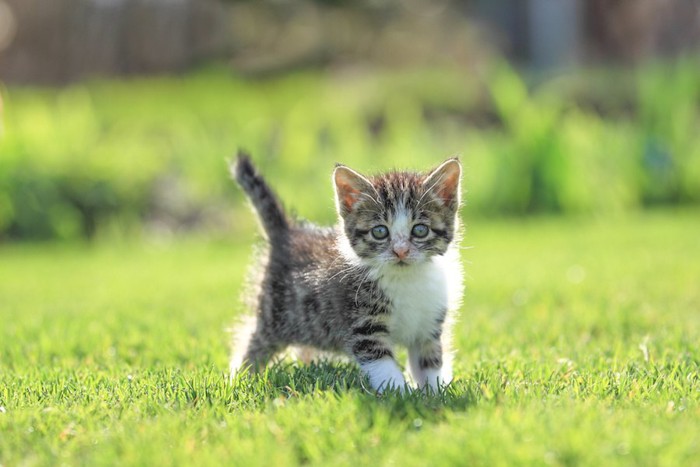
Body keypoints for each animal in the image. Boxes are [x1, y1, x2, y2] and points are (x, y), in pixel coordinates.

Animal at [230, 152, 462, 394]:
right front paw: (399, 393)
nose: (400, 251)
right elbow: (381, 363)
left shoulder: (428, 325)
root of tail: (287, 235)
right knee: (252, 342)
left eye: (420, 230)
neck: (407, 279)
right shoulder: (363, 323)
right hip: (275, 315)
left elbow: (430, 360)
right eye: (380, 231)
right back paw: (239, 377)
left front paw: (435, 392)